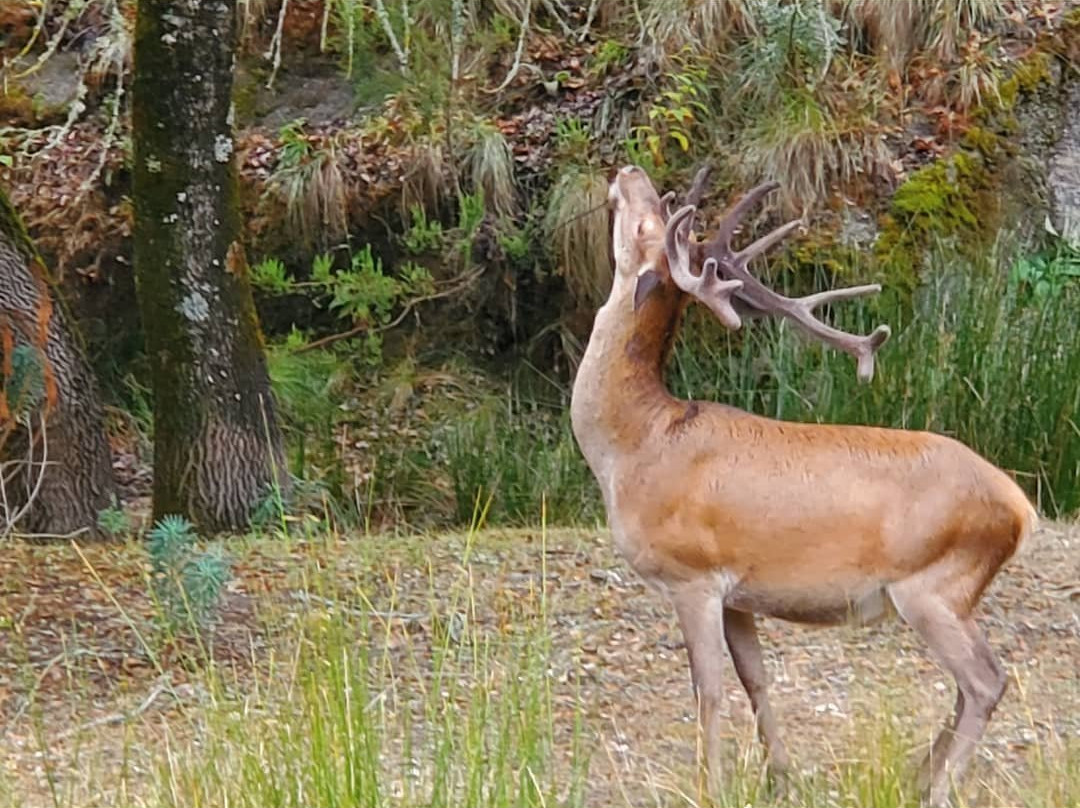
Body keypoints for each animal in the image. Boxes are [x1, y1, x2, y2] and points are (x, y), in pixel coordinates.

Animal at [574, 165, 1036, 808]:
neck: (633, 448)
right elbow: (757, 681)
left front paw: (711, 784)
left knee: (986, 680)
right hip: (950, 591)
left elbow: (708, 690)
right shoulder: (737, 592)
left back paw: (938, 786)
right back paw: (918, 773)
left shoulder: (692, 574)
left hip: (934, 583)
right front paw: (780, 778)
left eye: (648, 221)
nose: (627, 171)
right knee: (970, 684)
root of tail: (1021, 508)